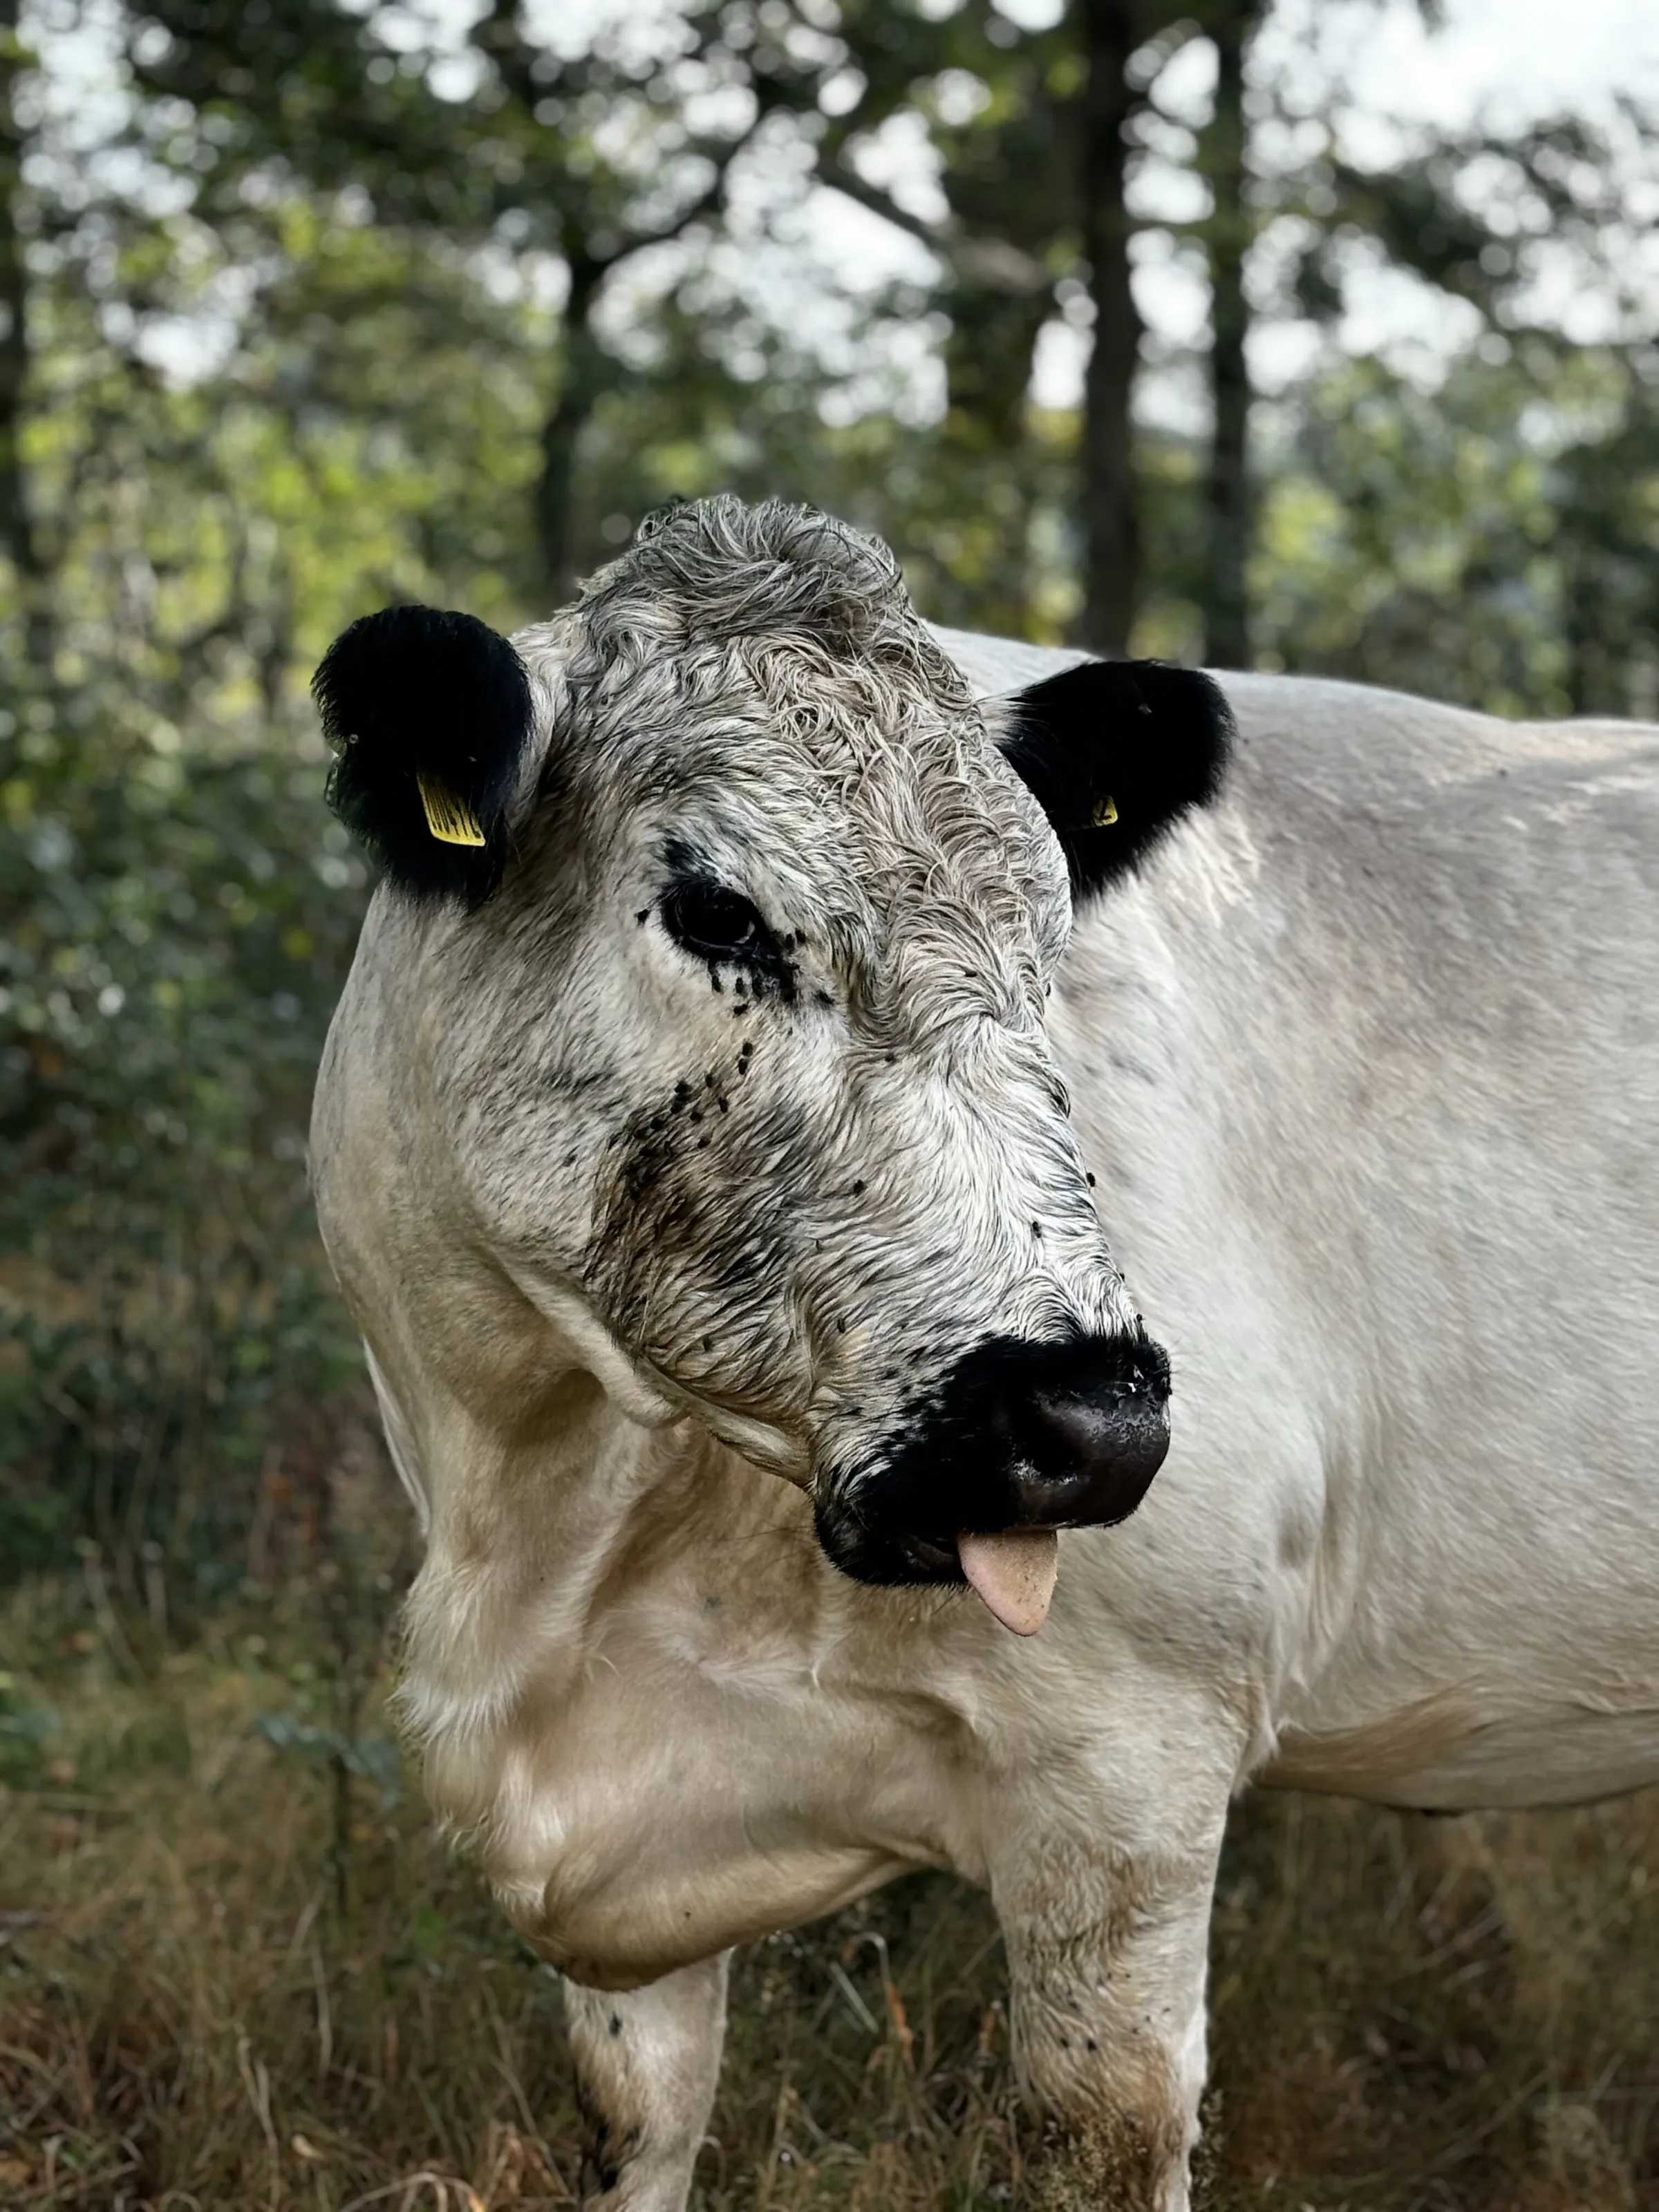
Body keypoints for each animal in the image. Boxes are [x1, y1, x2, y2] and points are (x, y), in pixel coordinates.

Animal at [308, 494, 1659, 2210]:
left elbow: (1104, 2124)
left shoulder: (1134, 1769)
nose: (1089, 1419)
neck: (541, 1533)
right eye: (718, 912)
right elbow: (641, 2123)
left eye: (1050, 939)